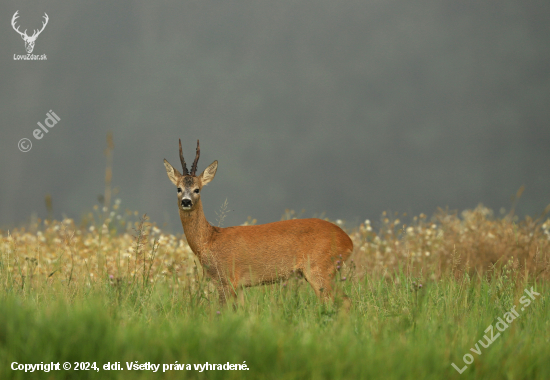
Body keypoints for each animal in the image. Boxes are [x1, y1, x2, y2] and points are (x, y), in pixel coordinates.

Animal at [164, 140, 354, 306]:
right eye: (178, 188)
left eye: (197, 189)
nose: (186, 201)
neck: (210, 239)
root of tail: (348, 242)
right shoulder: (239, 286)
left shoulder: (226, 279)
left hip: (320, 268)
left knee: (341, 301)